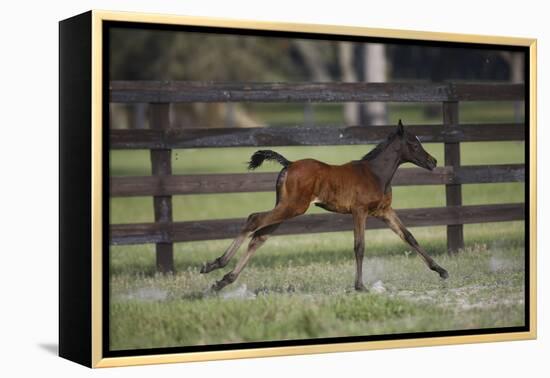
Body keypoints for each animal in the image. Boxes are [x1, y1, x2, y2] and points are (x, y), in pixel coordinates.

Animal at [201, 119, 450, 290]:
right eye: (413, 144)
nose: (433, 161)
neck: (376, 174)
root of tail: (289, 164)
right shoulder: (359, 211)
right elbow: (359, 246)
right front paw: (360, 286)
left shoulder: (384, 211)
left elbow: (409, 237)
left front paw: (441, 271)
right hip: (293, 207)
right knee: (254, 219)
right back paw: (215, 265)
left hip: (286, 209)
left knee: (259, 237)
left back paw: (223, 280)